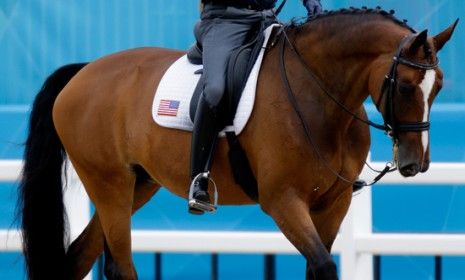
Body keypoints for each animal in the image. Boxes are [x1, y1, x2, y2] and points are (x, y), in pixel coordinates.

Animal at [17, 8, 454, 280]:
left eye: (438, 87)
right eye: (406, 86)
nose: (416, 163)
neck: (317, 92)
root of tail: (83, 71)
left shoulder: (334, 203)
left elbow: (318, 267)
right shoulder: (283, 201)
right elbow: (324, 266)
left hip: (137, 185)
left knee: (80, 257)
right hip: (108, 184)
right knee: (120, 267)